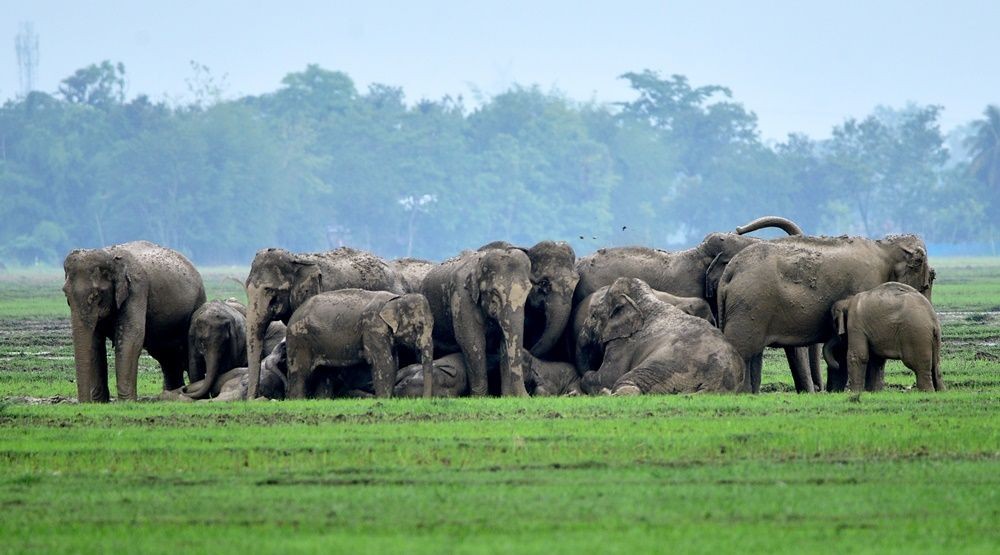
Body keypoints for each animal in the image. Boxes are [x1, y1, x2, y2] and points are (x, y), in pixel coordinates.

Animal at [63, 240, 206, 402]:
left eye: (97, 295)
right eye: (65, 294)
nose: (85, 403)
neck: (110, 257)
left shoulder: (136, 289)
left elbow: (131, 338)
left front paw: (126, 402)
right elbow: (95, 343)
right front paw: (100, 403)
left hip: (197, 303)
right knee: (166, 357)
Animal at [285, 289, 434, 399]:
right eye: (419, 327)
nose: (424, 400)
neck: (397, 299)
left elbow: (394, 363)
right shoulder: (372, 326)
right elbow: (383, 362)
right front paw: (383, 400)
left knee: (325, 372)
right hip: (299, 339)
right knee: (299, 372)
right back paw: (297, 400)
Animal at [420, 247, 532, 396]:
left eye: (528, 291)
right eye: (494, 292)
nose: (528, 396)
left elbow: (504, 343)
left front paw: (506, 396)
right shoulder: (461, 296)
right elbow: (472, 341)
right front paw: (480, 397)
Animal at [577, 277, 744, 395]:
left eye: (593, 315)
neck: (646, 301)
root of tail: (715, 383)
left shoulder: (623, 344)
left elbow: (606, 377)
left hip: (667, 367)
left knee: (625, 381)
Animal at [717, 234, 934, 394]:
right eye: (929, 280)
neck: (884, 247)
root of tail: (730, 270)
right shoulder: (866, 287)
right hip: (749, 307)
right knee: (741, 349)